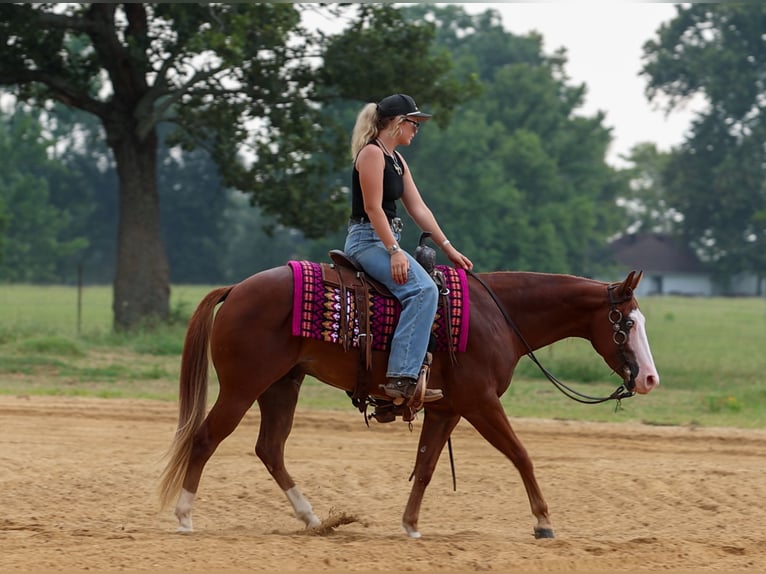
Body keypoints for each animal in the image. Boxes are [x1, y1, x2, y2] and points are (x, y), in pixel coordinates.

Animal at [158, 265, 659, 539]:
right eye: (627, 323)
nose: (651, 379)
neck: (498, 317)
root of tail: (236, 289)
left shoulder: (447, 409)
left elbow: (426, 466)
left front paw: (411, 524)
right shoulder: (480, 404)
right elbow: (521, 455)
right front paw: (543, 521)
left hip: (282, 386)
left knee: (270, 448)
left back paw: (313, 518)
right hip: (243, 387)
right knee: (205, 439)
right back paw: (184, 516)